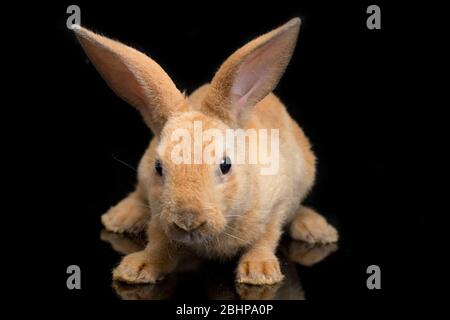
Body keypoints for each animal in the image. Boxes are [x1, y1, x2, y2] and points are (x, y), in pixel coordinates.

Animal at [73, 16, 338, 284]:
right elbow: (158, 243)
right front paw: (136, 269)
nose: (188, 221)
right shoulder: (158, 217)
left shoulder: (277, 203)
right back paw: (120, 218)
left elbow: (265, 238)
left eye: (225, 165)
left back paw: (317, 230)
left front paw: (258, 272)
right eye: (159, 168)